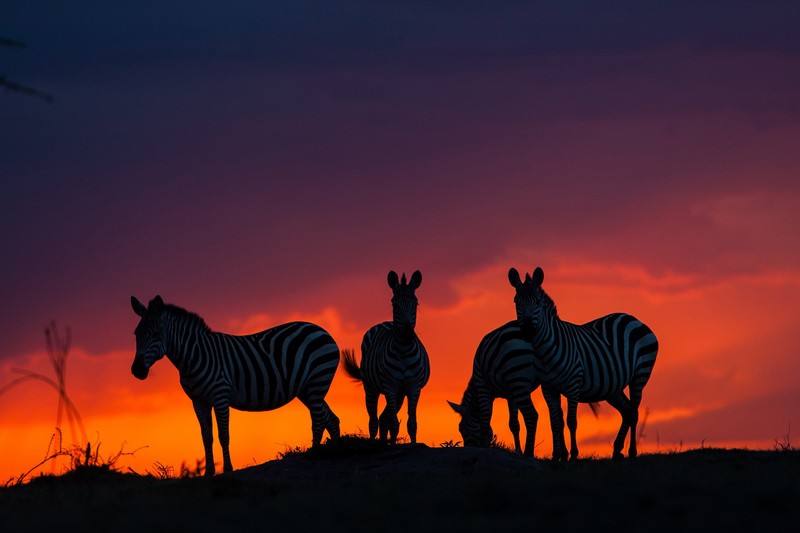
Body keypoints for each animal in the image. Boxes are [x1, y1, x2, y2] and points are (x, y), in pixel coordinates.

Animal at [129, 296, 340, 474]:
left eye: (156, 334)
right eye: (136, 334)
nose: (137, 370)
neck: (194, 356)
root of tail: (321, 329)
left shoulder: (220, 395)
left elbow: (224, 435)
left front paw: (228, 469)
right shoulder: (198, 401)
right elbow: (206, 437)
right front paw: (209, 472)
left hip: (317, 381)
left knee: (319, 420)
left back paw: (314, 453)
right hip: (308, 389)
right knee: (331, 418)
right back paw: (335, 450)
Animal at [344, 270, 432, 440]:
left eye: (416, 304)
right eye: (394, 304)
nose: (407, 334)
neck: (403, 351)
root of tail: (385, 322)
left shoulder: (413, 387)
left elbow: (411, 424)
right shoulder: (390, 387)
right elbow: (395, 424)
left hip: (400, 394)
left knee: (383, 419)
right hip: (371, 388)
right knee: (373, 421)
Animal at [446, 320, 572, 458]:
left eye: (461, 429)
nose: (468, 449)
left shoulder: (483, 386)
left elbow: (485, 421)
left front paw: (485, 448)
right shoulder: (511, 395)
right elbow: (514, 424)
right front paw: (518, 452)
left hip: (518, 378)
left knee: (532, 415)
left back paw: (529, 453)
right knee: (558, 415)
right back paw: (562, 454)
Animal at [510, 268, 660, 460]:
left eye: (537, 302)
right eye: (516, 302)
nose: (528, 331)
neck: (545, 351)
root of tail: (633, 318)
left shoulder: (573, 385)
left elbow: (571, 421)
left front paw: (573, 454)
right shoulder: (548, 388)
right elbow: (555, 421)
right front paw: (557, 455)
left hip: (640, 376)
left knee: (633, 412)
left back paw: (632, 452)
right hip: (612, 386)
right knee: (627, 411)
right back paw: (617, 450)